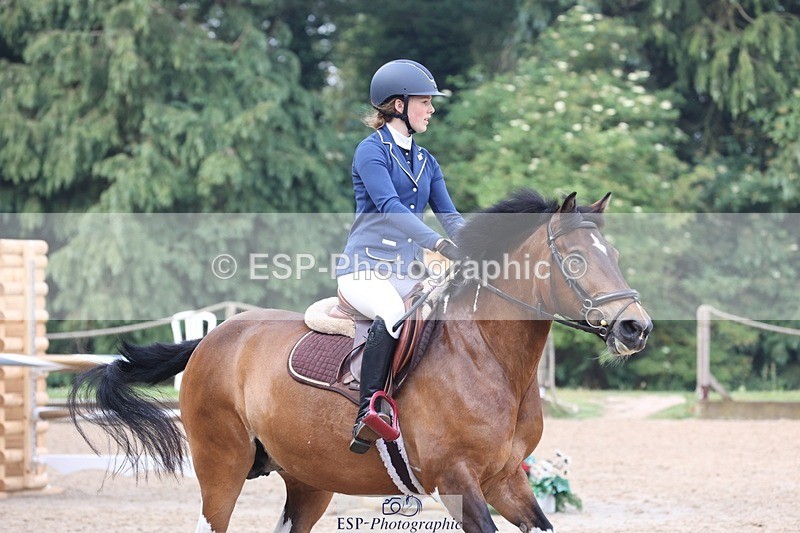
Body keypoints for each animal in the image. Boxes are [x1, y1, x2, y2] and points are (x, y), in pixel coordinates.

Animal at [69, 190, 652, 532]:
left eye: (617, 257)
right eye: (574, 261)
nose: (635, 328)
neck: (488, 357)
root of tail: (216, 337)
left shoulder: (507, 479)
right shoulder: (458, 481)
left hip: (308, 480)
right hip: (221, 468)